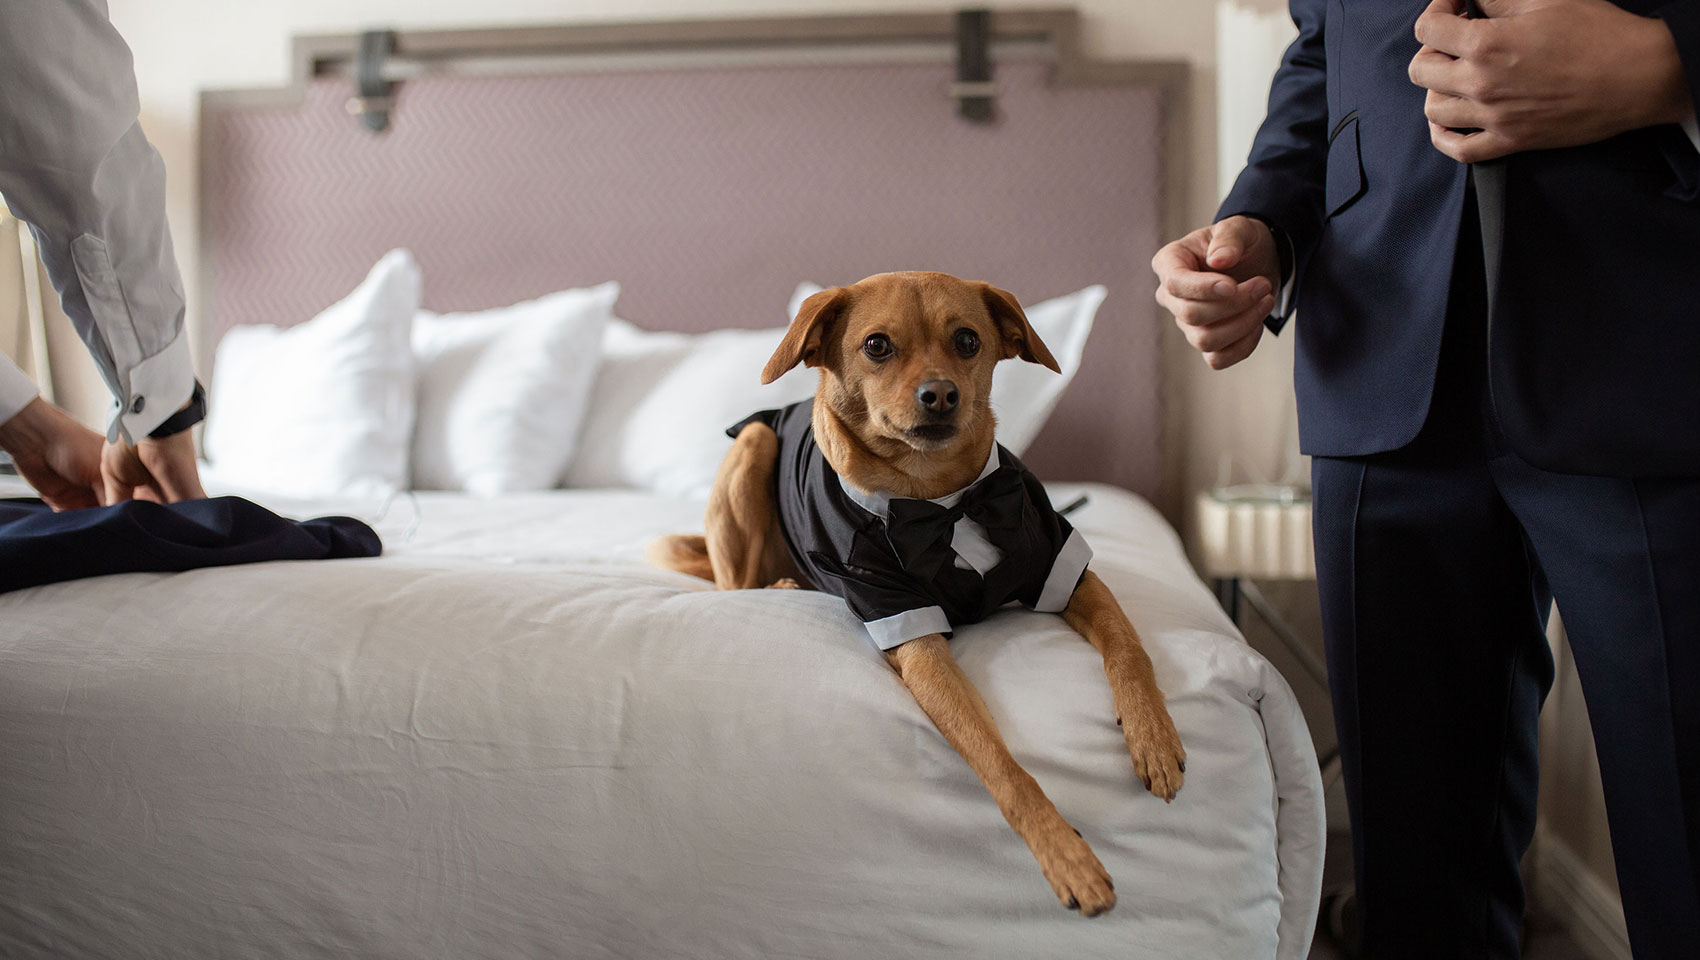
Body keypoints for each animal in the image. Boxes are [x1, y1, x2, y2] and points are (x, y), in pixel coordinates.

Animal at [646, 270, 1183, 910]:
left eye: (968, 341)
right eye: (877, 346)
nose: (941, 395)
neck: (937, 501)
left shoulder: (1068, 569)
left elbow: (1129, 652)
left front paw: (1153, 738)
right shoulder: (914, 636)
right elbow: (999, 762)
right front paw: (1066, 854)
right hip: (753, 443)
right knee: (735, 582)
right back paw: (785, 581)